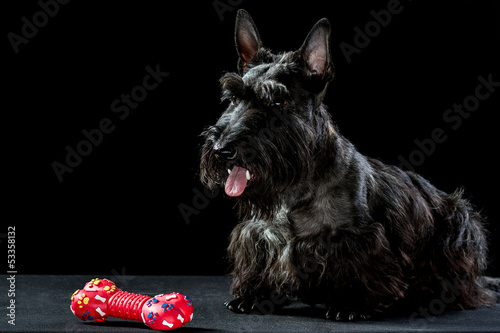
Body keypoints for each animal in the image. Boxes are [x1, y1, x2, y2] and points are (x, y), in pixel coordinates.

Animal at [198, 8, 496, 320]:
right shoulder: (259, 234)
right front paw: (253, 295)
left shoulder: (359, 239)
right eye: (233, 98)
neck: (296, 190)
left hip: (459, 226)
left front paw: (352, 303)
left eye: (277, 102)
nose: (221, 150)